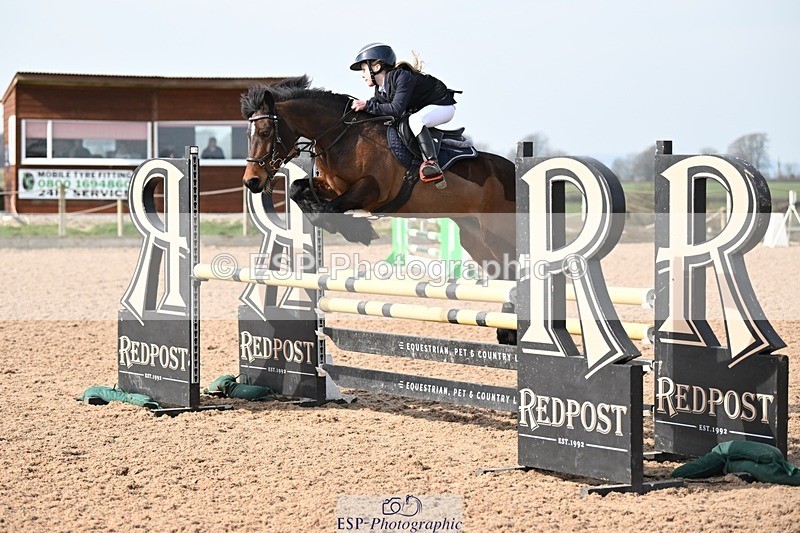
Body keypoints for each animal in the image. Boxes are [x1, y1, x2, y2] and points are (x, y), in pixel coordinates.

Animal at [240, 75, 518, 341]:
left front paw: (358, 230)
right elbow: (297, 189)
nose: (251, 181)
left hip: (498, 236)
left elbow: (331, 209)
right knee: (506, 275)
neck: (342, 136)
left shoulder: (370, 190)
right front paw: (339, 222)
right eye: (248, 135)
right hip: (477, 241)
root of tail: (512, 172)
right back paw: (507, 330)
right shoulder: (333, 187)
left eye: (265, 132)